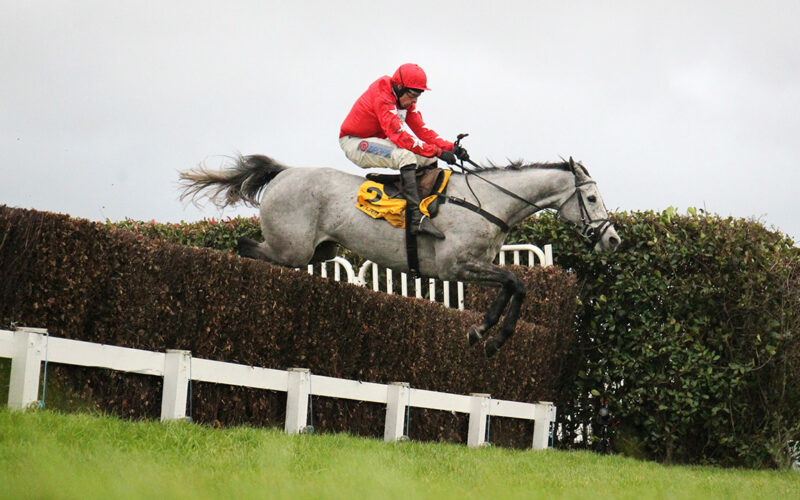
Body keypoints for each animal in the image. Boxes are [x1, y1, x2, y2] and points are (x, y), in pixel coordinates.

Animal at [180, 155, 620, 356]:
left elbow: (514, 286)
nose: (613, 240)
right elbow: (518, 281)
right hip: (291, 247)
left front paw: (485, 334)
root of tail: (284, 172)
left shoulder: (479, 265)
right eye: (591, 199)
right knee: (245, 248)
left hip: (318, 250)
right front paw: (490, 335)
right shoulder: (456, 266)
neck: (489, 203)